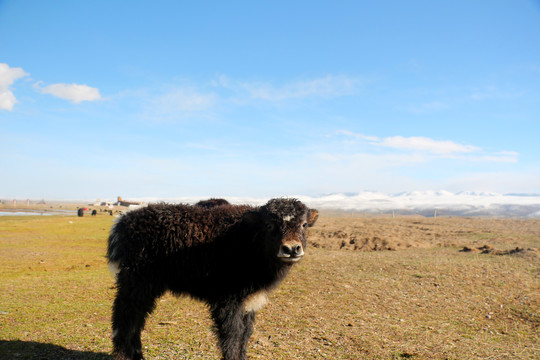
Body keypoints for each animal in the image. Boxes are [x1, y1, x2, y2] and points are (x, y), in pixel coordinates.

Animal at [107, 198, 318, 358]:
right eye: (269, 224)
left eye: (304, 225)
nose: (291, 249)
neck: (249, 238)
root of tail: (123, 221)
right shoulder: (228, 301)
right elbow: (232, 335)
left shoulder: (250, 302)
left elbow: (245, 334)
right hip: (136, 284)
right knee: (125, 319)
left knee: (136, 319)